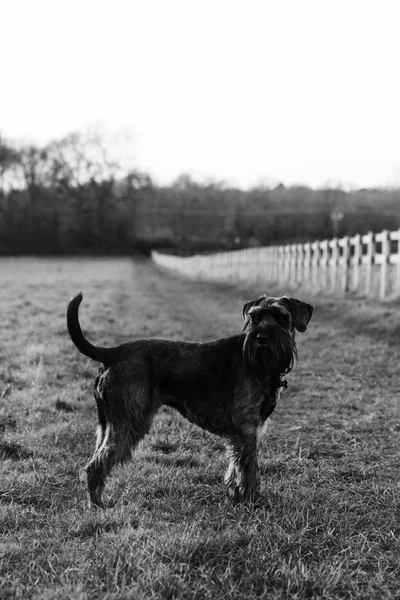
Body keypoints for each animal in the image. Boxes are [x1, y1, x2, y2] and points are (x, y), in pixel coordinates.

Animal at [67, 290, 314, 506]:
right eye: (254, 317)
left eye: (281, 317)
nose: (262, 337)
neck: (260, 365)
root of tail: (112, 353)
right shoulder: (246, 428)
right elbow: (249, 468)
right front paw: (252, 500)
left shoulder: (244, 431)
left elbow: (235, 464)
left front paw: (235, 495)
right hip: (129, 422)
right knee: (96, 465)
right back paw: (98, 505)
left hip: (107, 423)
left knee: (96, 457)